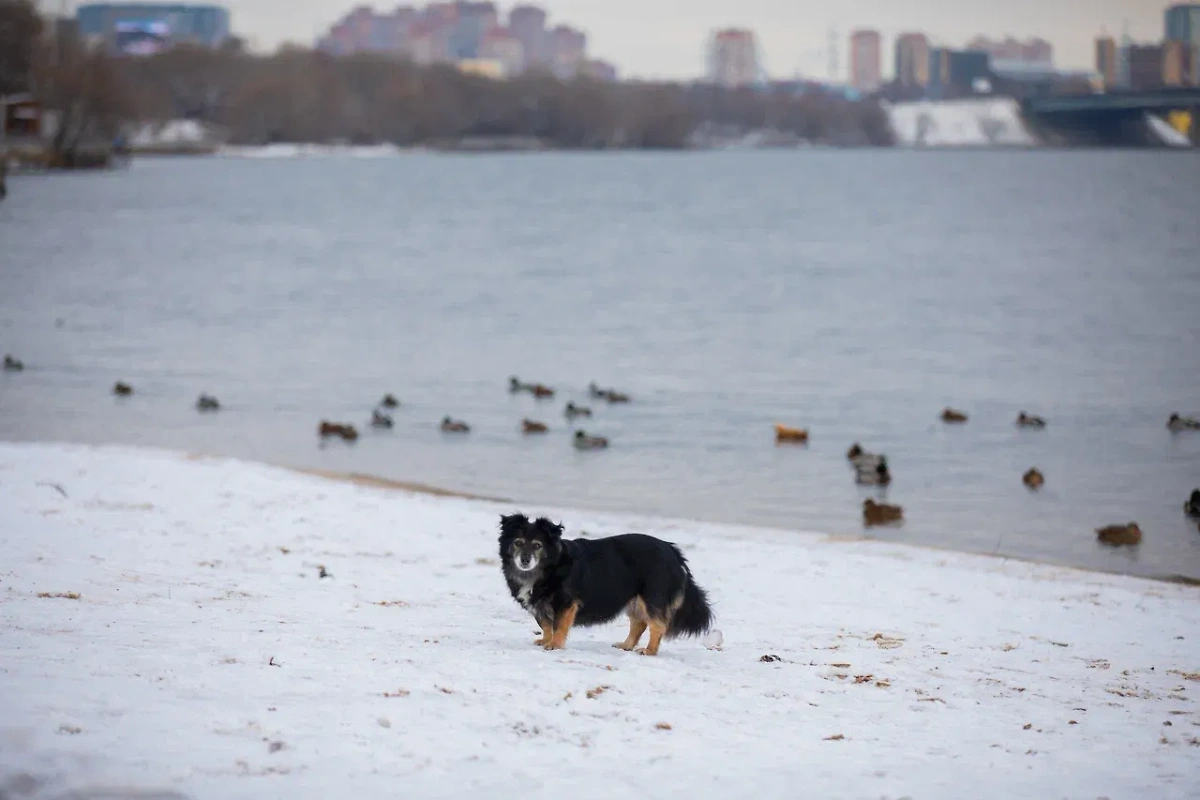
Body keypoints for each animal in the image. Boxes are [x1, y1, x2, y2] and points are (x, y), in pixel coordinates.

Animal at [496, 513, 710, 657]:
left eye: (537, 546)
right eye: (518, 543)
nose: (525, 560)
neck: (547, 568)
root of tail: (672, 550)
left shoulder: (566, 604)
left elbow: (558, 626)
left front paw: (555, 645)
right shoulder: (540, 606)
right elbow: (546, 625)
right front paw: (546, 640)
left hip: (651, 597)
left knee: (658, 626)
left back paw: (649, 650)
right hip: (633, 599)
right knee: (639, 624)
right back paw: (626, 645)